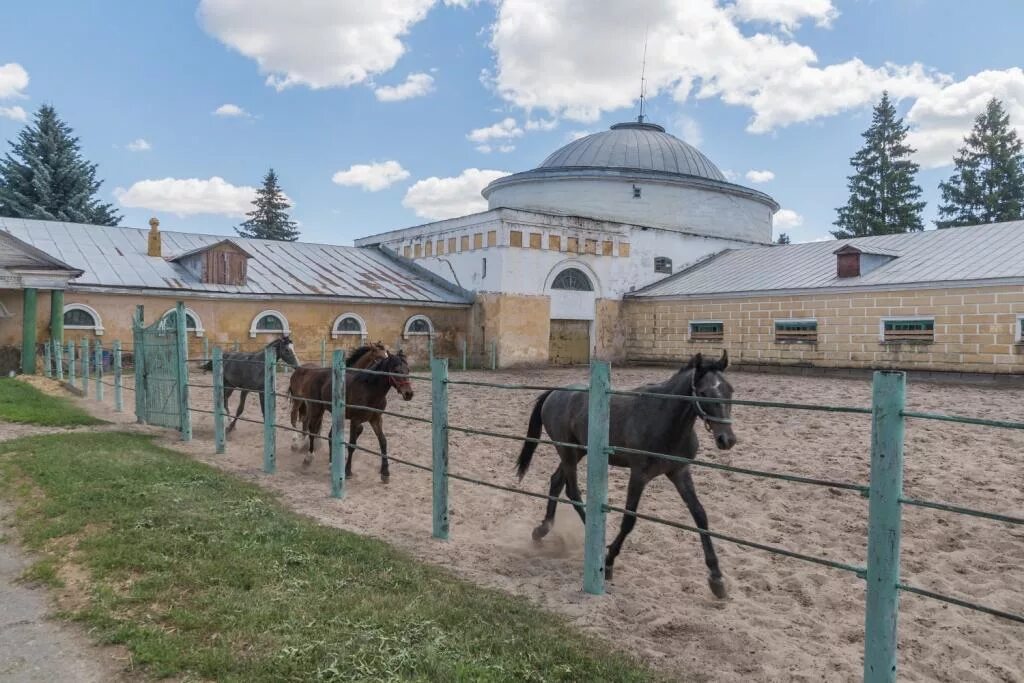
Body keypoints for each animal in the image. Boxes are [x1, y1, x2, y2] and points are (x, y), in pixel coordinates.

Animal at [288, 350, 411, 483]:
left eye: (408, 370)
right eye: (396, 370)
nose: (409, 394)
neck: (369, 390)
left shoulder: (376, 419)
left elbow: (383, 442)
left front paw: (385, 473)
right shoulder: (355, 420)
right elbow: (352, 445)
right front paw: (347, 471)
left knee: (324, 433)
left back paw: (330, 463)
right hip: (316, 408)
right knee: (311, 429)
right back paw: (308, 459)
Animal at [520, 352, 737, 598]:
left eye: (730, 390)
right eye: (703, 393)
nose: (727, 439)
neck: (662, 418)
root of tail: (554, 393)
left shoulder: (679, 472)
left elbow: (700, 515)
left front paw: (716, 579)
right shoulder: (639, 474)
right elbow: (629, 520)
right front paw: (609, 561)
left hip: (578, 452)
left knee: (556, 482)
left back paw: (541, 530)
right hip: (567, 452)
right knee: (572, 490)